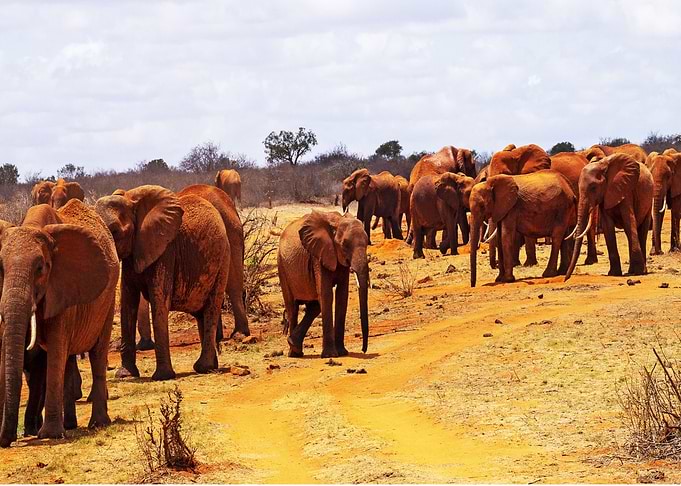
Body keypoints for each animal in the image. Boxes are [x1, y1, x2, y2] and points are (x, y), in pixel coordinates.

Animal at [0, 200, 119, 446]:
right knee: (69, 359)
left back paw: (98, 423)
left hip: (109, 299)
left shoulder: (62, 288)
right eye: (1, 269)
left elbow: (56, 348)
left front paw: (50, 435)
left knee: (97, 354)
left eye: (40, 268)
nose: (6, 440)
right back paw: (70, 425)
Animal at [95, 184, 232, 381]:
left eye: (115, 232)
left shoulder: (166, 251)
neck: (132, 201)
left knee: (212, 308)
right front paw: (125, 375)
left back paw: (203, 367)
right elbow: (128, 303)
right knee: (202, 314)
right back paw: (211, 366)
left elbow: (159, 301)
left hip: (223, 261)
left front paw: (162, 376)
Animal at [277, 210, 369, 358]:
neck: (337, 221)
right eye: (344, 245)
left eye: (367, 243)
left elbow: (342, 295)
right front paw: (330, 355)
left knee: (314, 307)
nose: (363, 349)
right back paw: (294, 353)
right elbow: (326, 294)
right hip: (282, 267)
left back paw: (294, 345)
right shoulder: (319, 255)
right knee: (292, 308)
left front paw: (342, 353)